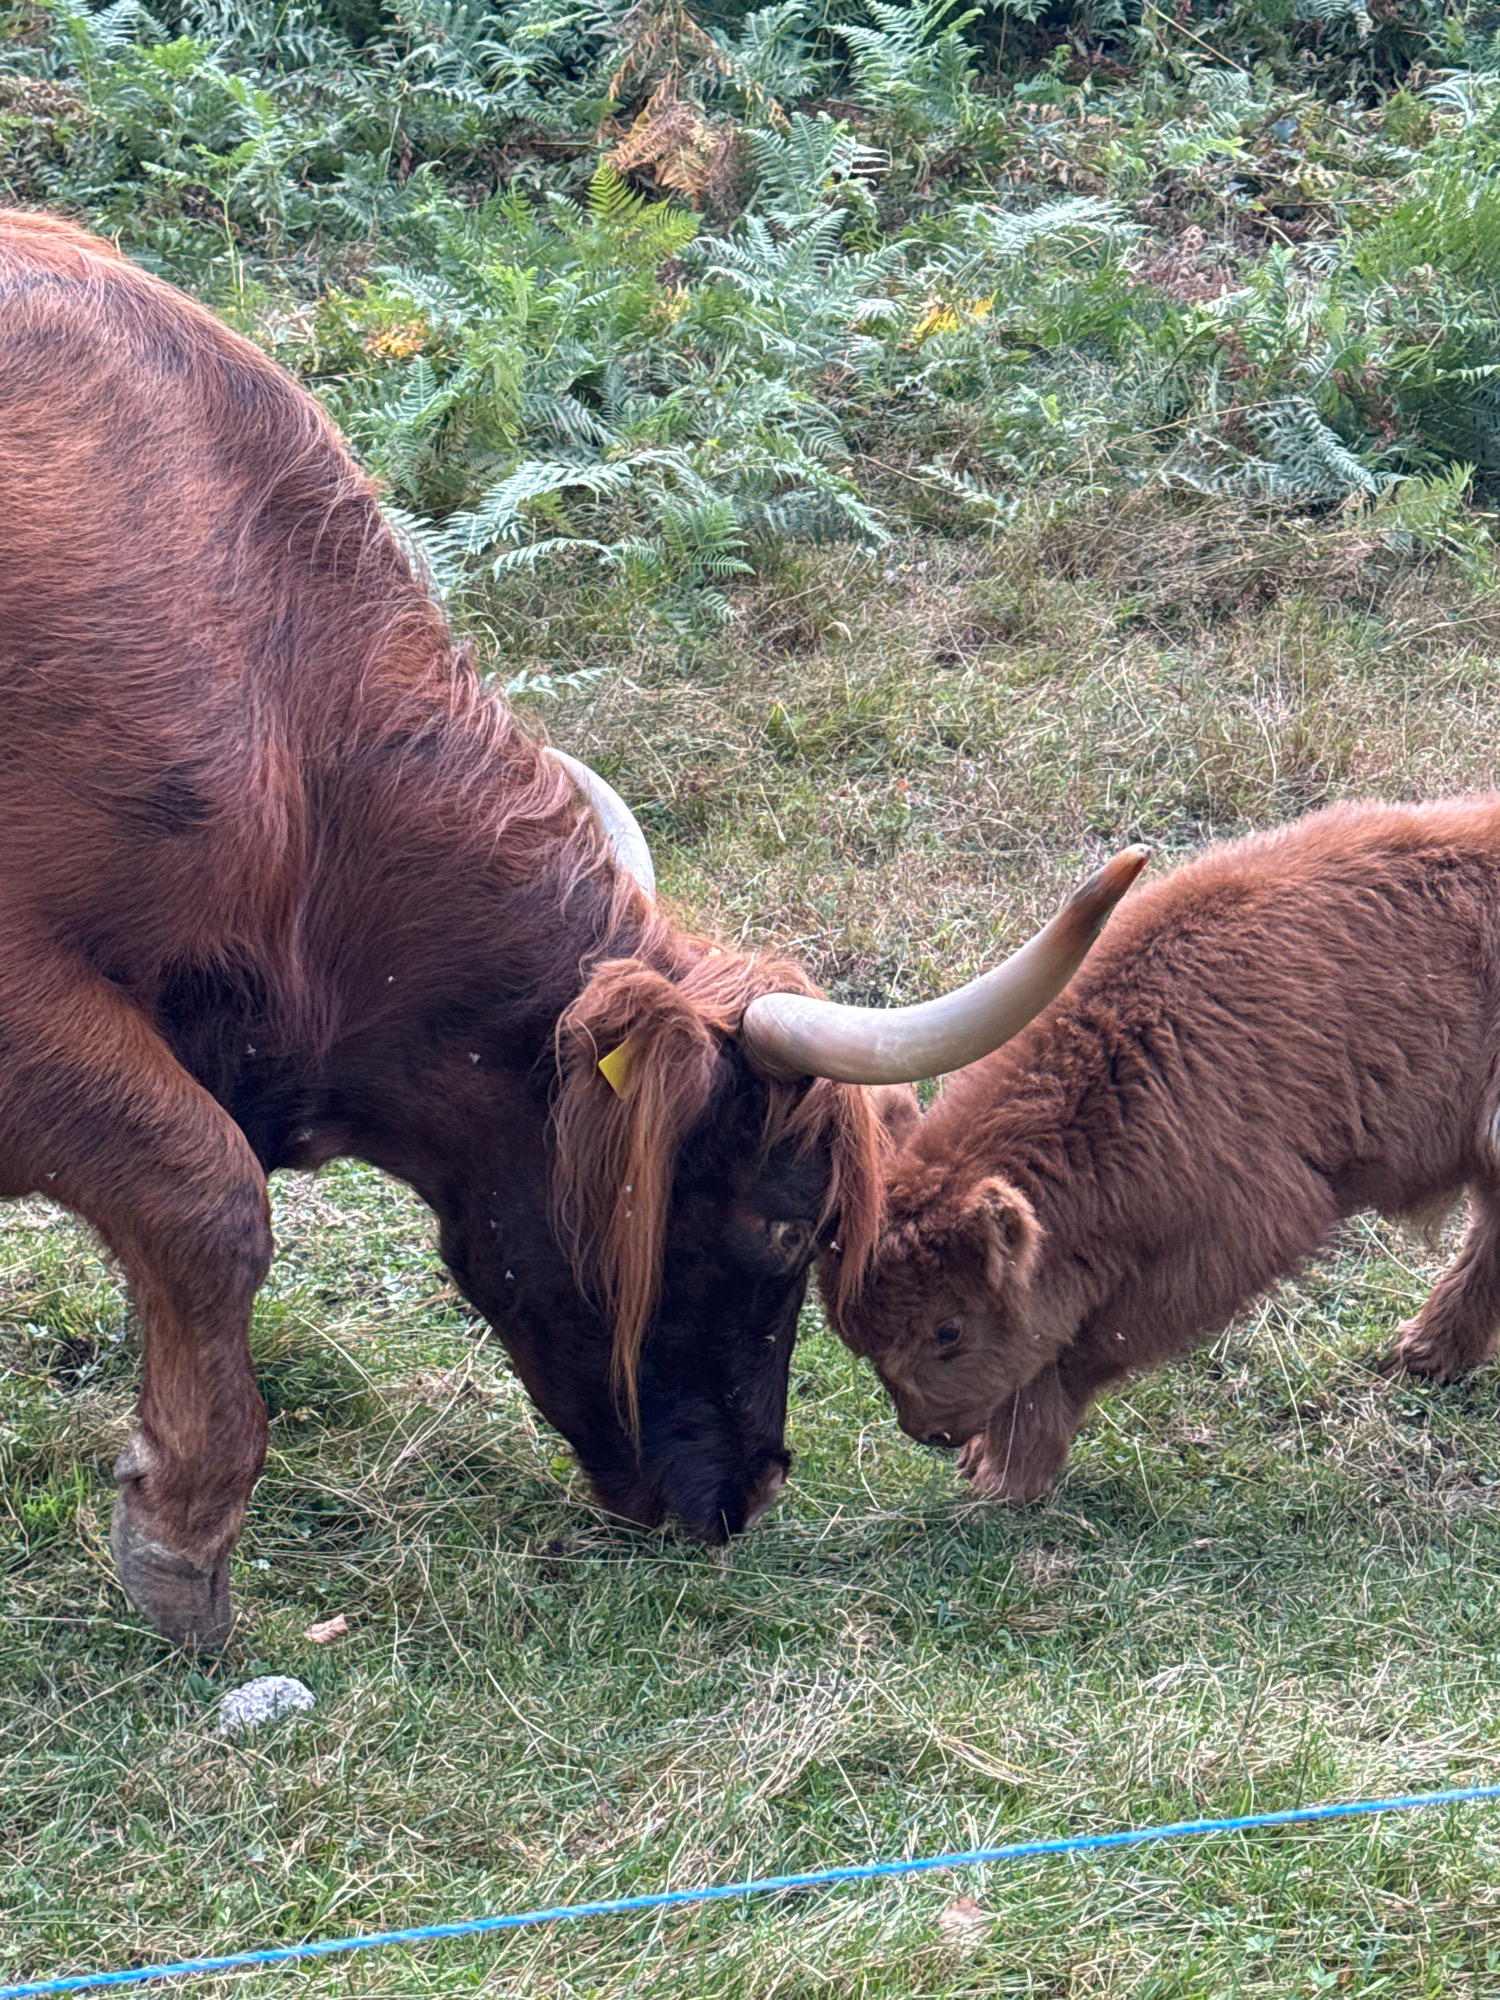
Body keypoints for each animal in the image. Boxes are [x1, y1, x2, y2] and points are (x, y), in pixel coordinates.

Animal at [828, 797, 1500, 1505]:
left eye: (948, 1328)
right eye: (856, 1338)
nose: (929, 1429)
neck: (1128, 1054)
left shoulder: (1242, 1229)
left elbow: (1085, 1343)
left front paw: (1005, 1472)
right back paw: (1424, 1353)